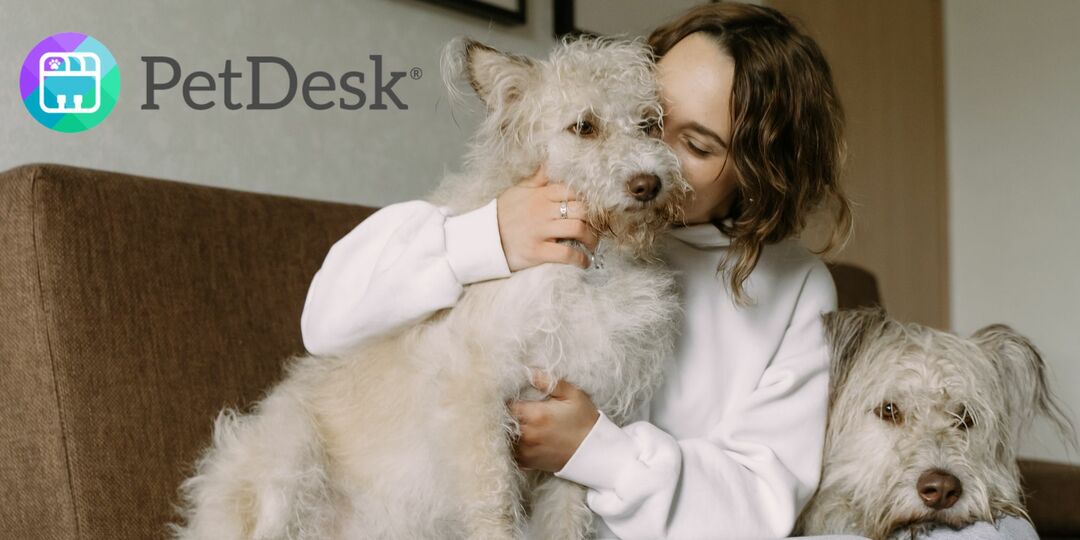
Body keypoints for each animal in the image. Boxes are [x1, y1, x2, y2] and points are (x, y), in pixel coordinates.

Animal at [171, 36, 686, 540]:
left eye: (649, 124)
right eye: (584, 127)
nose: (649, 185)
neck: (592, 261)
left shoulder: (578, 426)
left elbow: (565, 521)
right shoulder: (473, 398)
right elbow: (493, 508)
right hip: (286, 456)